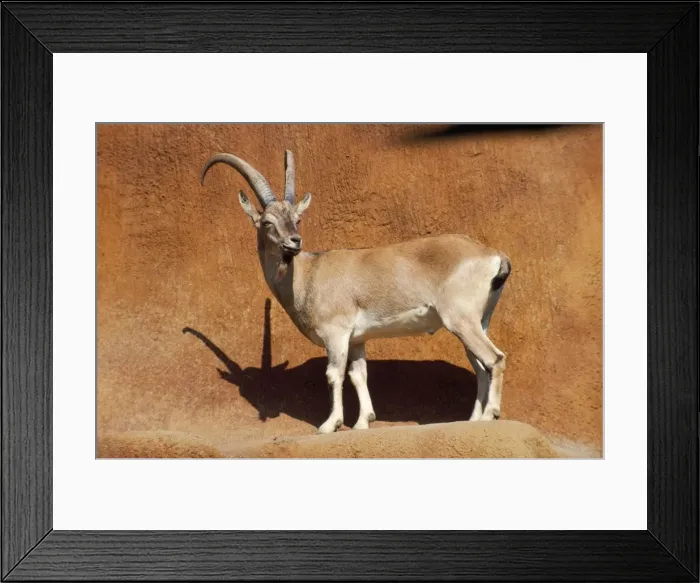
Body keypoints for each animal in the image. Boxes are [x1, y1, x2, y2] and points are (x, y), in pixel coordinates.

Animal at [200, 151, 511, 434]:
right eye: (267, 222)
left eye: (297, 219)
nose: (294, 241)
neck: (309, 273)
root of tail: (493, 255)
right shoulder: (358, 338)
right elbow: (358, 374)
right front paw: (363, 422)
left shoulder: (335, 333)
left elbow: (334, 374)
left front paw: (330, 424)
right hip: (478, 321)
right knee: (480, 366)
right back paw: (472, 420)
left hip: (461, 319)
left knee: (494, 359)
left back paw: (490, 415)